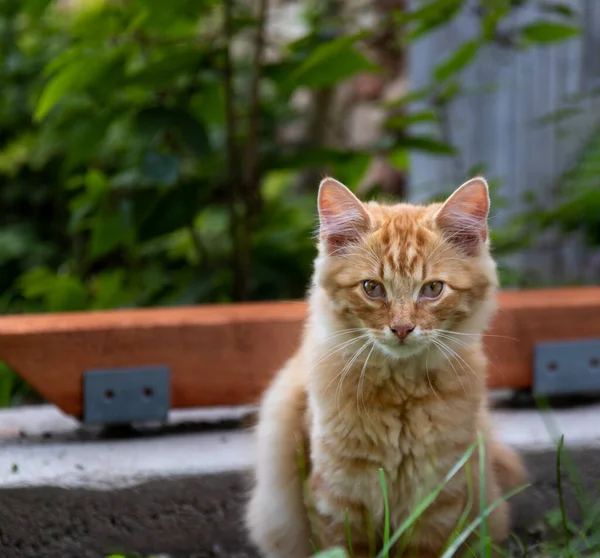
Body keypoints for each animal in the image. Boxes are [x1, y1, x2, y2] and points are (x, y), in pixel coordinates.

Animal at [246, 178, 528, 558]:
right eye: (372, 288)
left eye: (433, 289)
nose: (402, 328)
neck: (401, 393)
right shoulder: (340, 497)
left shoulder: (438, 496)